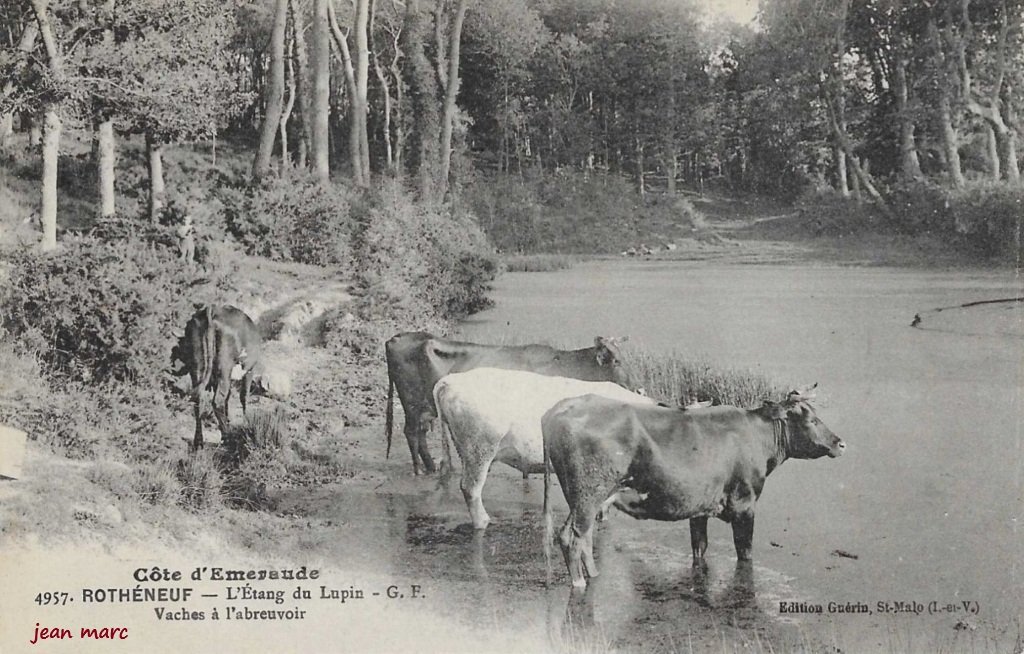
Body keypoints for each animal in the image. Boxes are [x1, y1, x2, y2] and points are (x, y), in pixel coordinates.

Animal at [170, 305, 263, 450]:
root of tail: (211, 310)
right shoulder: (249, 370)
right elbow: (244, 397)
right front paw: (247, 421)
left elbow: (228, 398)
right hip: (224, 367)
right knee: (217, 400)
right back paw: (227, 437)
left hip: (198, 366)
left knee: (199, 398)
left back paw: (199, 442)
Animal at [385, 332, 634, 475]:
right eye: (616, 361)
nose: (637, 387)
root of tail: (397, 337)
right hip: (412, 405)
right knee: (412, 433)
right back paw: (420, 470)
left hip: (422, 409)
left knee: (420, 435)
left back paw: (430, 467)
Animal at [542, 387, 844, 588]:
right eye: (811, 420)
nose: (840, 442)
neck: (756, 436)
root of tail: (560, 408)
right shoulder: (745, 505)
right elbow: (744, 554)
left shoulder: (699, 508)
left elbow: (700, 548)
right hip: (588, 493)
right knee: (571, 536)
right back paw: (580, 583)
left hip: (585, 497)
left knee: (584, 535)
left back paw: (593, 575)